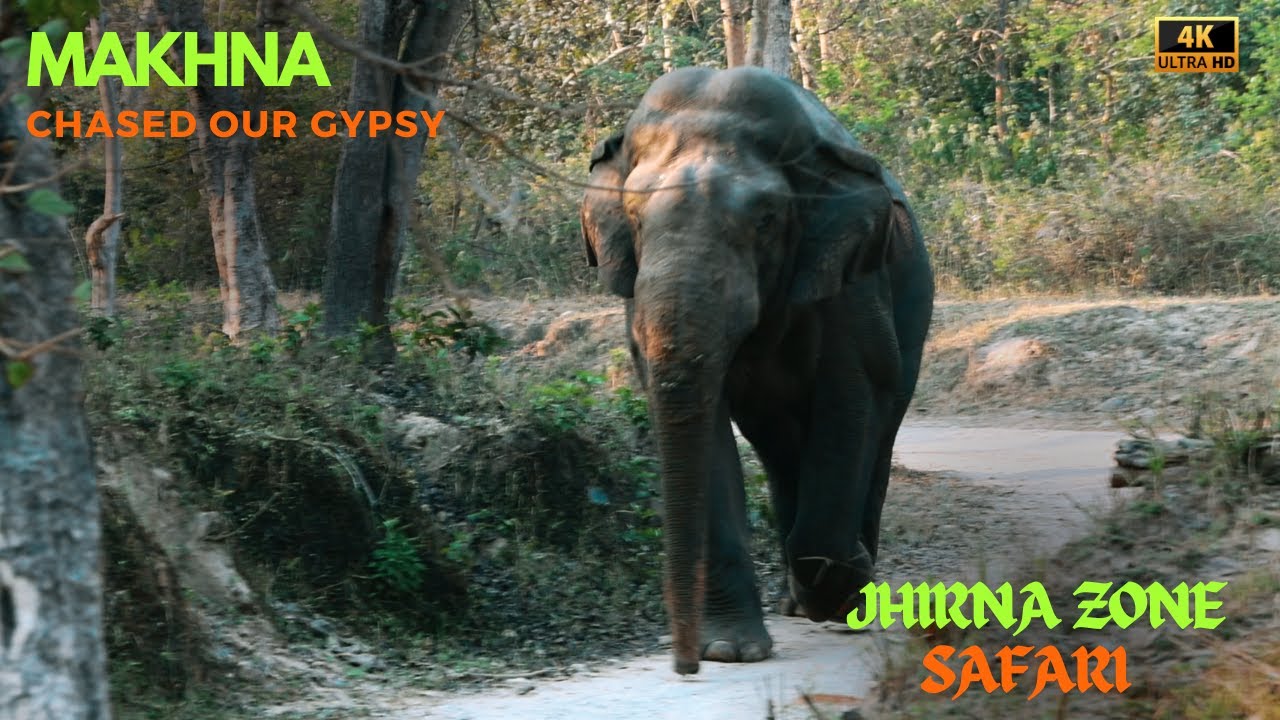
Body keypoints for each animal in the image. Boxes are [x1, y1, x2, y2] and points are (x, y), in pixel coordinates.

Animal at [579, 66, 934, 675]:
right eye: (635, 221)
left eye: (766, 222)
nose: (685, 666)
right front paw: (729, 650)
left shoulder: (853, 285)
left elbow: (852, 397)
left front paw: (844, 586)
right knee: (780, 448)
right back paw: (797, 601)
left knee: (878, 436)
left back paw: (847, 599)